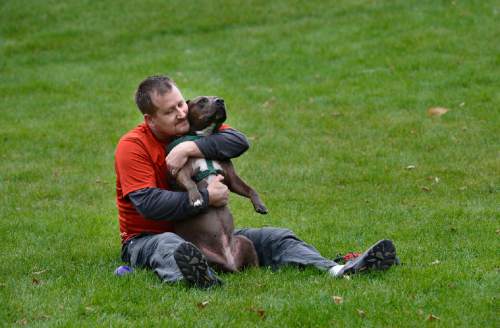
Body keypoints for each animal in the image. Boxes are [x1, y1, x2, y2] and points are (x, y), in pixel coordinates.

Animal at [168, 96, 268, 272]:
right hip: (198, 249)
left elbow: (250, 189)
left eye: (217, 98)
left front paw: (260, 205)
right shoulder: (182, 171)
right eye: (202, 101)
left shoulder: (232, 178)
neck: (203, 137)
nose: (220, 101)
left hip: (244, 241)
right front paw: (196, 198)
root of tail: (230, 263)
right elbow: (190, 183)